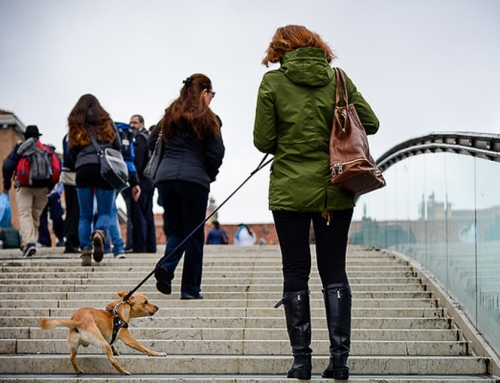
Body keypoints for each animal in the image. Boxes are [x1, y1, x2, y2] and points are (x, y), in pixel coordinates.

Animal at [39, 292, 167, 376]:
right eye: (146, 302)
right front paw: (157, 353)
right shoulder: (127, 338)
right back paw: (123, 372)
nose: (158, 307)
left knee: (71, 357)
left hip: (73, 345)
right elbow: (144, 348)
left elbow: (113, 342)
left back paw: (78, 370)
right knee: (112, 361)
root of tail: (78, 321)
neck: (119, 311)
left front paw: (115, 350)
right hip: (102, 342)